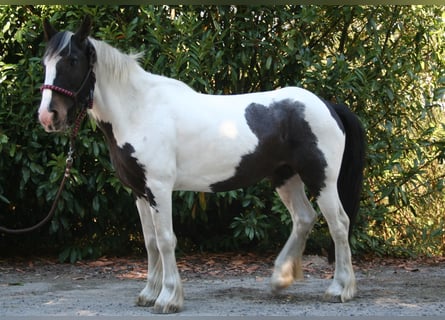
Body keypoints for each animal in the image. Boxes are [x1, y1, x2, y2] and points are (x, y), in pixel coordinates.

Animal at [37, 16, 364, 314]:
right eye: (45, 62)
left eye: (72, 61)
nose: (48, 116)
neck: (140, 110)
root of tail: (328, 105)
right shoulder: (140, 192)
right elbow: (150, 242)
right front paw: (148, 294)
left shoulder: (159, 188)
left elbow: (166, 240)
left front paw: (168, 298)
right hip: (285, 177)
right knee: (304, 218)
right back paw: (280, 278)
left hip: (321, 179)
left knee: (339, 224)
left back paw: (339, 289)